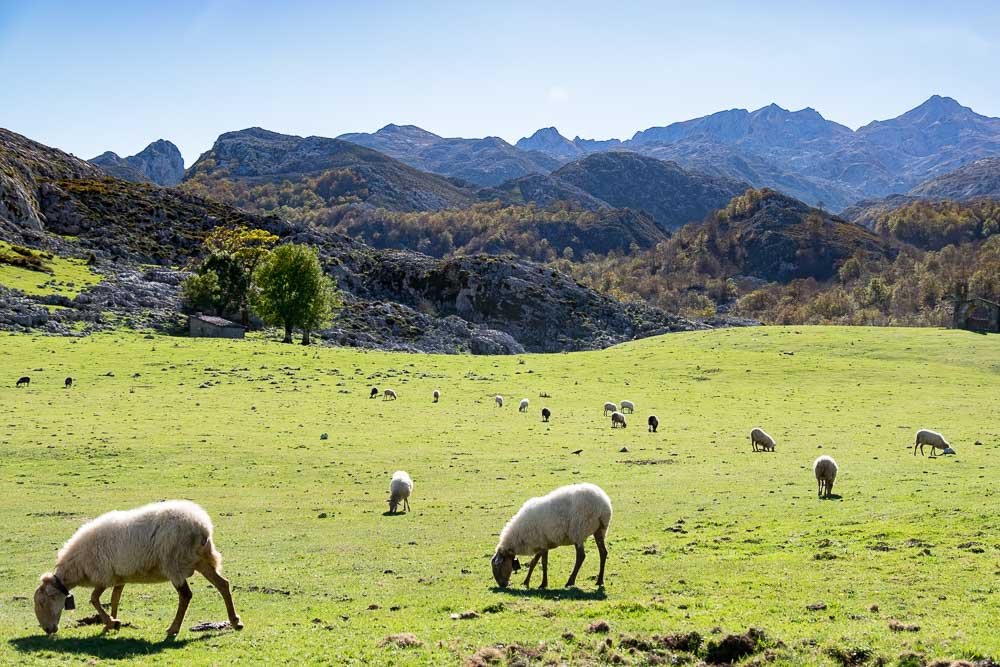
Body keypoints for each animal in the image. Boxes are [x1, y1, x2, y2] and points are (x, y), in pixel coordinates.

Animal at [33, 500, 242, 636]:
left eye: (42, 602)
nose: (48, 630)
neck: (77, 566)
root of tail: (202, 526)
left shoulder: (103, 575)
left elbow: (94, 599)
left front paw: (111, 622)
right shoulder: (119, 577)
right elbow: (114, 599)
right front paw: (111, 625)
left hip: (174, 563)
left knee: (185, 595)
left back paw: (173, 629)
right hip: (201, 560)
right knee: (223, 584)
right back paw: (236, 622)